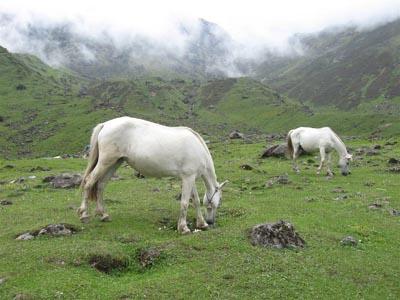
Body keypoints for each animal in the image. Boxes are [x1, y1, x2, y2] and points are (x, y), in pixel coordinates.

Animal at [77, 117, 228, 234]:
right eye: (218, 201)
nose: (211, 221)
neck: (198, 148)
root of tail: (105, 124)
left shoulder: (190, 178)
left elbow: (195, 200)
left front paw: (201, 224)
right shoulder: (188, 177)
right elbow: (185, 202)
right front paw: (183, 228)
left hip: (114, 163)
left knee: (101, 185)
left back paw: (104, 214)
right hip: (106, 161)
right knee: (89, 182)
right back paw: (84, 214)